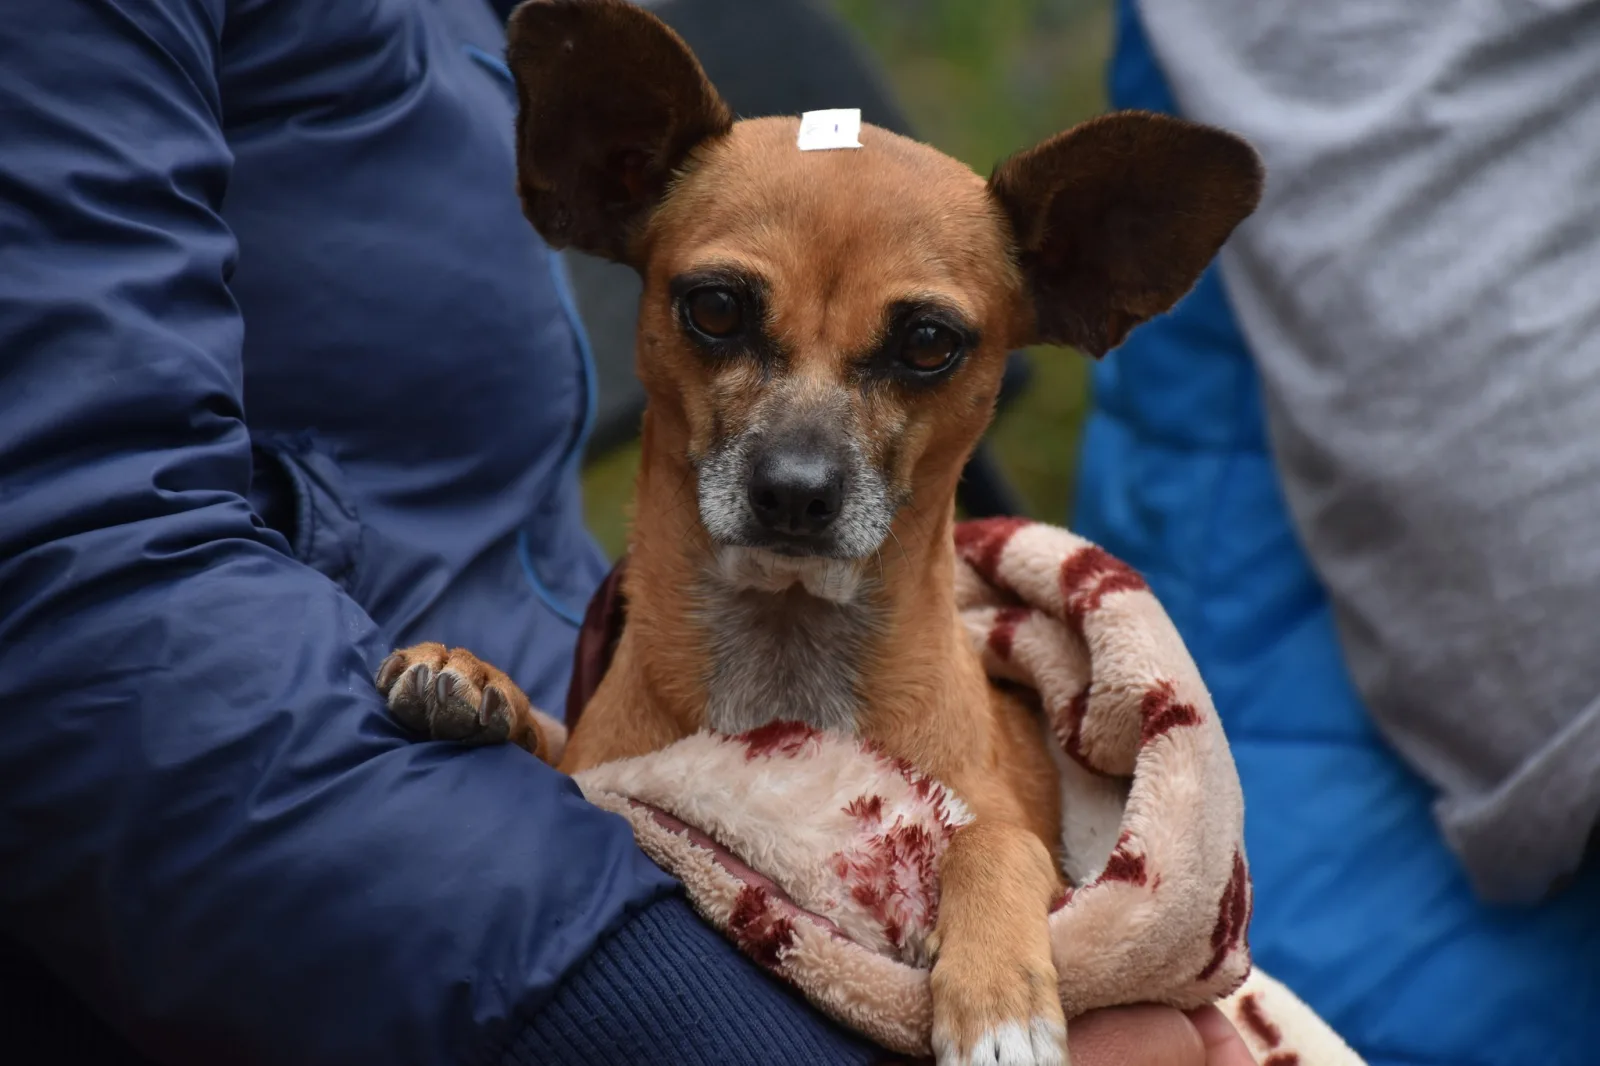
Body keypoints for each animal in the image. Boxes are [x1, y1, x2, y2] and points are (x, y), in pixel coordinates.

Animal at [374, 4, 1260, 1056]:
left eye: (929, 343)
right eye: (716, 308)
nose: (794, 492)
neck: (785, 659)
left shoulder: (1019, 840)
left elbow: (990, 840)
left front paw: (998, 996)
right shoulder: (604, 771)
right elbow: (558, 750)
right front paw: (480, 683)